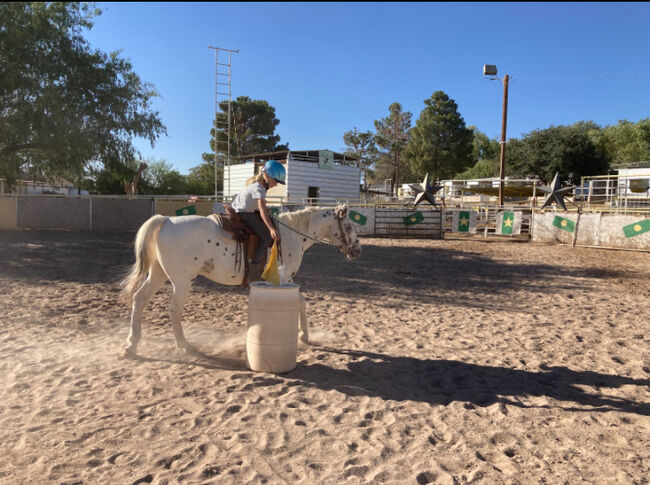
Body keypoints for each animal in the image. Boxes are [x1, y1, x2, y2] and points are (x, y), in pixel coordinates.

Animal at [119, 202, 362, 354]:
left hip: (158, 273)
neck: (290, 234)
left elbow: (301, 302)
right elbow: (300, 302)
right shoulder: (284, 278)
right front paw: (303, 336)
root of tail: (167, 220)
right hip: (181, 281)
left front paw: (304, 335)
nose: (357, 251)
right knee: (174, 310)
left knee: (140, 299)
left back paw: (132, 344)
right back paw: (184, 346)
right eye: (349, 226)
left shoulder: (286, 281)